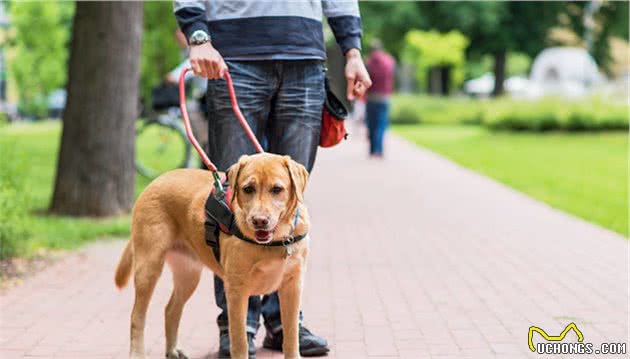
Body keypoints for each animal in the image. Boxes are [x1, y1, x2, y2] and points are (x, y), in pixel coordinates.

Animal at [115, 154, 312, 359]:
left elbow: (291, 336)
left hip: (189, 275)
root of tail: (156, 180)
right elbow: (240, 341)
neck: (277, 240)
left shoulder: (292, 288)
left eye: (277, 189)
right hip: (149, 267)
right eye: (248, 189)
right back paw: (137, 353)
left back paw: (172, 350)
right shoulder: (236, 292)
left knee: (170, 309)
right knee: (137, 316)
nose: (259, 221)